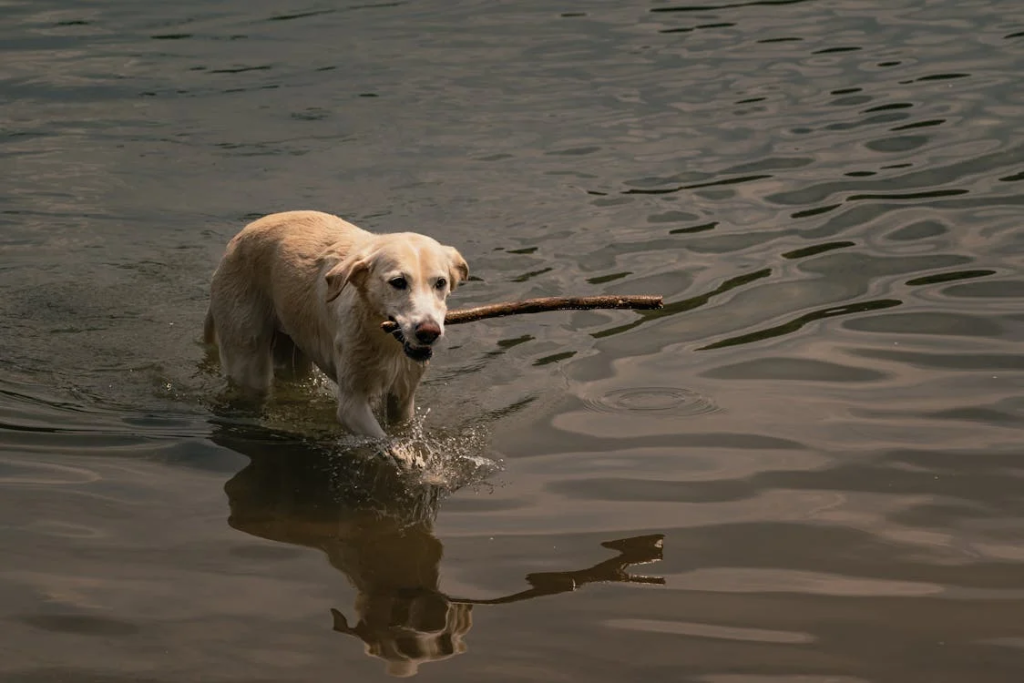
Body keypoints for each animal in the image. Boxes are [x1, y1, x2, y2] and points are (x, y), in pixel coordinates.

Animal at [203, 210, 468, 446]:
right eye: (398, 282)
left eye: (440, 283)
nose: (428, 332)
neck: (383, 339)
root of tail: (234, 243)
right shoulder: (352, 406)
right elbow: (387, 442)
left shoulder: (403, 399)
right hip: (248, 358)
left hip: (294, 349)